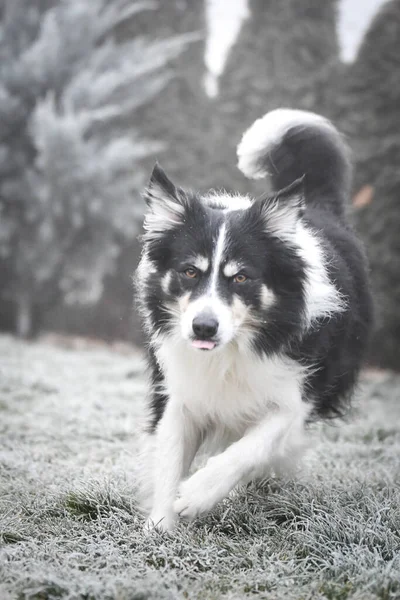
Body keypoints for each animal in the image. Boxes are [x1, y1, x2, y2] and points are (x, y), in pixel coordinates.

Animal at [136, 110, 374, 532]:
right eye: (190, 272)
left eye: (241, 278)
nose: (203, 328)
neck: (234, 347)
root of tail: (316, 205)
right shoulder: (178, 389)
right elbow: (169, 458)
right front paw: (160, 527)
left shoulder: (296, 393)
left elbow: (253, 445)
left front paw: (197, 495)